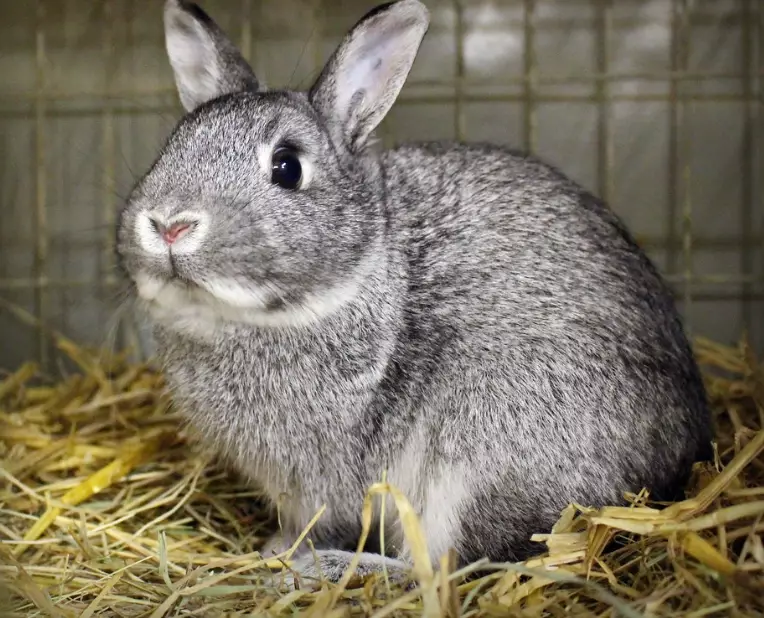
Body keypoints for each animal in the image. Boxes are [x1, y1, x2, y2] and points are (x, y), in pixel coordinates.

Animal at [115, 0, 713, 590]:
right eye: (170, 146)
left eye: (287, 167)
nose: (170, 224)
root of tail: (677, 468)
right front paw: (274, 548)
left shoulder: (325, 478)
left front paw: (283, 554)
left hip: (482, 453)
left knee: (451, 566)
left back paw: (328, 570)